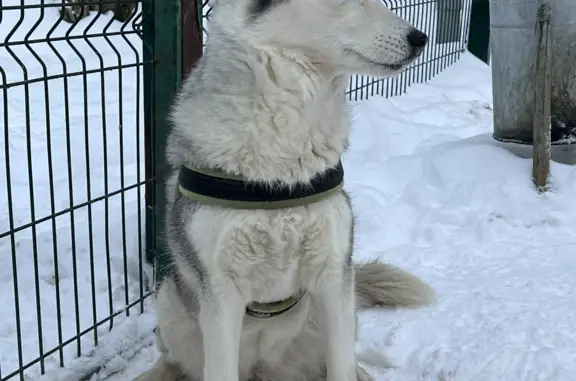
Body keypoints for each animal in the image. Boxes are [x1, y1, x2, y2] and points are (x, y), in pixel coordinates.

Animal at [134, 0, 432, 380]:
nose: (420, 39)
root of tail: (264, 370)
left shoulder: (333, 272)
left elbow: (340, 365)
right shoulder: (220, 294)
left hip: (337, 311)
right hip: (170, 299)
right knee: (171, 359)